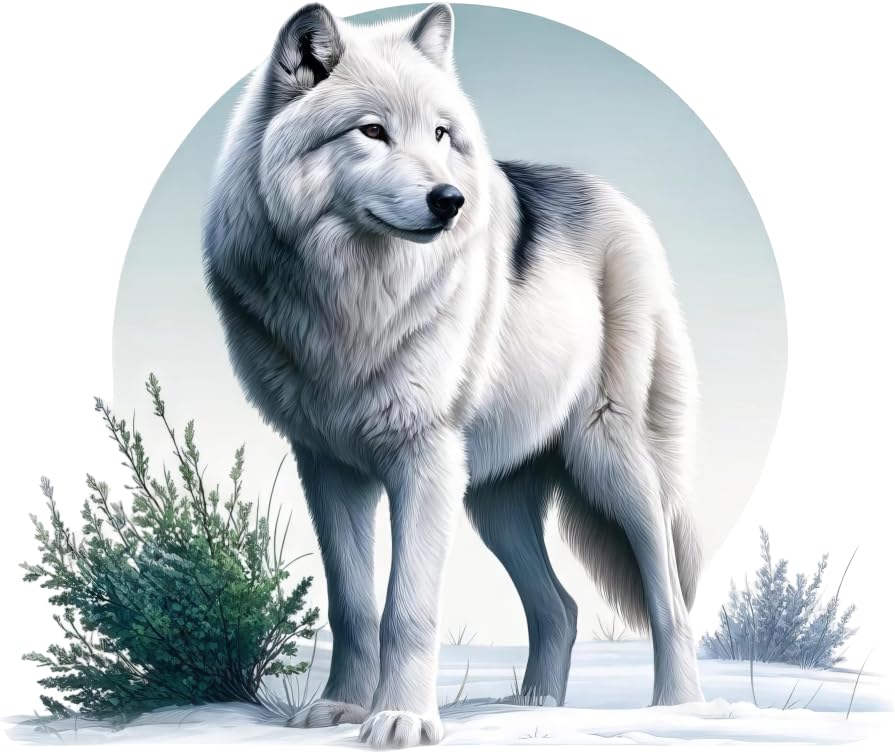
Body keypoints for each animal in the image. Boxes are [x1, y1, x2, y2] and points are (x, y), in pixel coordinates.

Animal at [203, 3, 704, 747]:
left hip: (611, 463)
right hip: (493, 502)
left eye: (440, 134)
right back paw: (533, 710)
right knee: (559, 607)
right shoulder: (328, 467)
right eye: (372, 131)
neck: (356, 305)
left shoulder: (424, 459)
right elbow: (354, 606)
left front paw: (403, 718)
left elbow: (407, 609)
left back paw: (677, 711)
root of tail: (618, 202)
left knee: (668, 596)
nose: (451, 199)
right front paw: (340, 707)